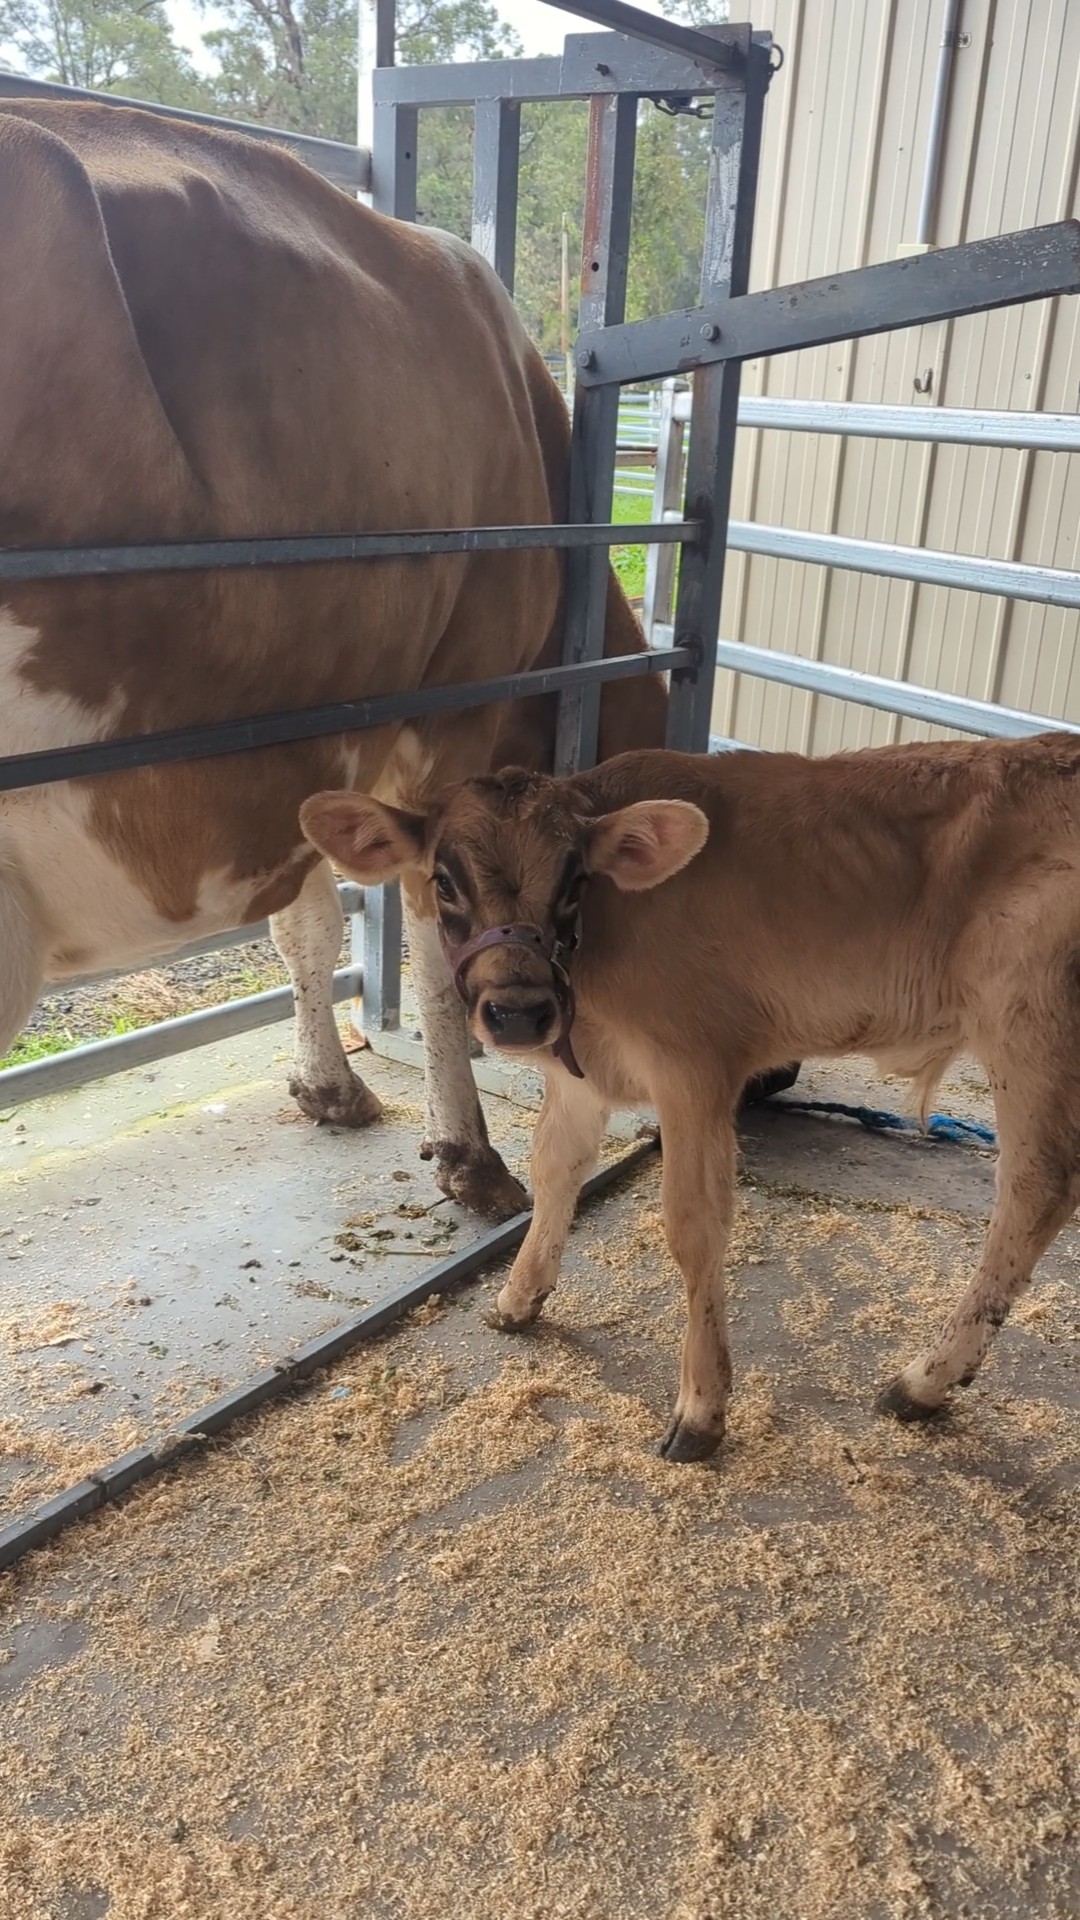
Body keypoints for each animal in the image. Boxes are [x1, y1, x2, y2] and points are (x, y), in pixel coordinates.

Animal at [0, 96, 667, 1222]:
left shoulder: (308, 727)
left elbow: (303, 924)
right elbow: (435, 949)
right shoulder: (448, 720)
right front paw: (471, 1154)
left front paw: (328, 1086)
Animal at [300, 732, 1080, 1461]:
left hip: (1028, 1025)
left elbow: (691, 1225)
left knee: (1037, 1188)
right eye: (444, 879)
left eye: (575, 880)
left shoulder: (695, 1070)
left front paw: (701, 1410)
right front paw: (517, 1300)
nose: (519, 1012)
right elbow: (556, 1171)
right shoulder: (581, 1075)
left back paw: (921, 1382)